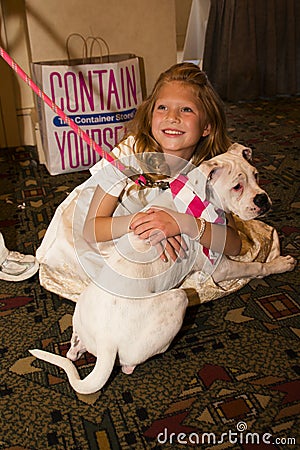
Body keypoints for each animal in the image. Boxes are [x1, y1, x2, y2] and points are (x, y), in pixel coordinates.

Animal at [29, 144, 296, 394]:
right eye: (237, 187)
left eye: (256, 175)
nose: (262, 199)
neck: (200, 198)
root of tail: (106, 343)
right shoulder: (220, 267)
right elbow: (255, 265)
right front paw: (279, 264)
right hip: (178, 299)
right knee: (129, 363)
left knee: (73, 351)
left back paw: (76, 347)